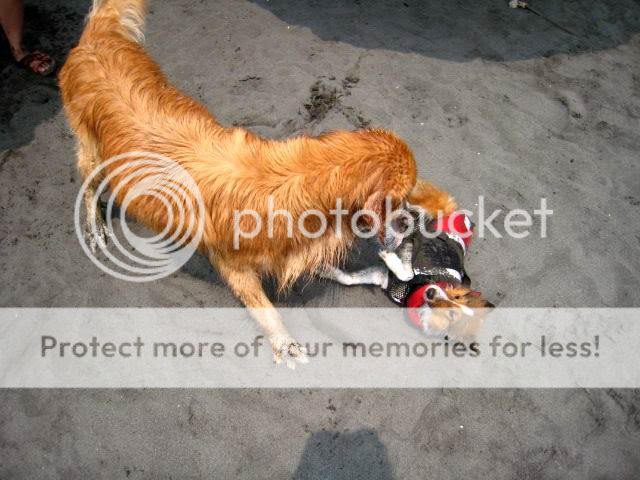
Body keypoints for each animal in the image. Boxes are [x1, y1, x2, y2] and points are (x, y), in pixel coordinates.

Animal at [59, 0, 491, 367]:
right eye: (393, 203)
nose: (408, 224)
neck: (299, 182)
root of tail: (98, 38)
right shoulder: (232, 263)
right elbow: (262, 305)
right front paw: (284, 342)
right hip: (93, 153)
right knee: (88, 179)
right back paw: (95, 223)